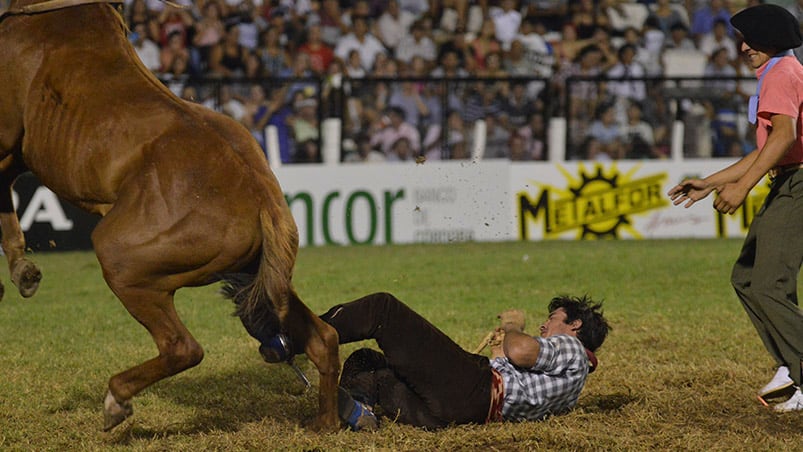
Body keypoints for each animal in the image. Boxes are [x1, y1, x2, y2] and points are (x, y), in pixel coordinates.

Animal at [0, 0, 340, 430]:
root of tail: (262, 197)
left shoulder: (5, 143)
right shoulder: (13, 156)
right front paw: (22, 271)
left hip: (123, 259)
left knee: (183, 347)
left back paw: (116, 400)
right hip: (257, 275)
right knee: (323, 338)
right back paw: (325, 423)